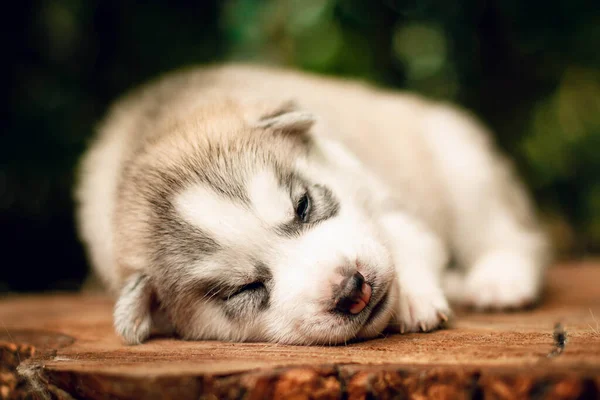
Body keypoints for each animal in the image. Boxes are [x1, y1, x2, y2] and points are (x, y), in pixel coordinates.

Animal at [74, 64, 548, 346]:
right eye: (244, 289)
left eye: (302, 206)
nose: (353, 290)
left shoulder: (381, 192)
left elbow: (404, 240)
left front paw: (414, 296)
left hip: (462, 164)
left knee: (510, 233)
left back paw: (499, 280)